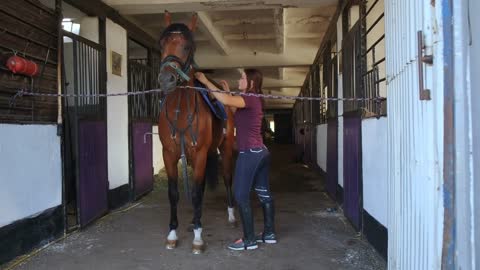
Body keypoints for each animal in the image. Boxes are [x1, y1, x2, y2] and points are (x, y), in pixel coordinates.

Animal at [157, 12, 235, 253]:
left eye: (187, 46)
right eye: (161, 44)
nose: (167, 80)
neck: (181, 111)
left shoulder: (200, 154)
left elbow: (197, 192)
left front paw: (198, 238)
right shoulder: (169, 154)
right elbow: (174, 193)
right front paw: (172, 234)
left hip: (225, 150)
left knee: (227, 178)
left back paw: (231, 215)